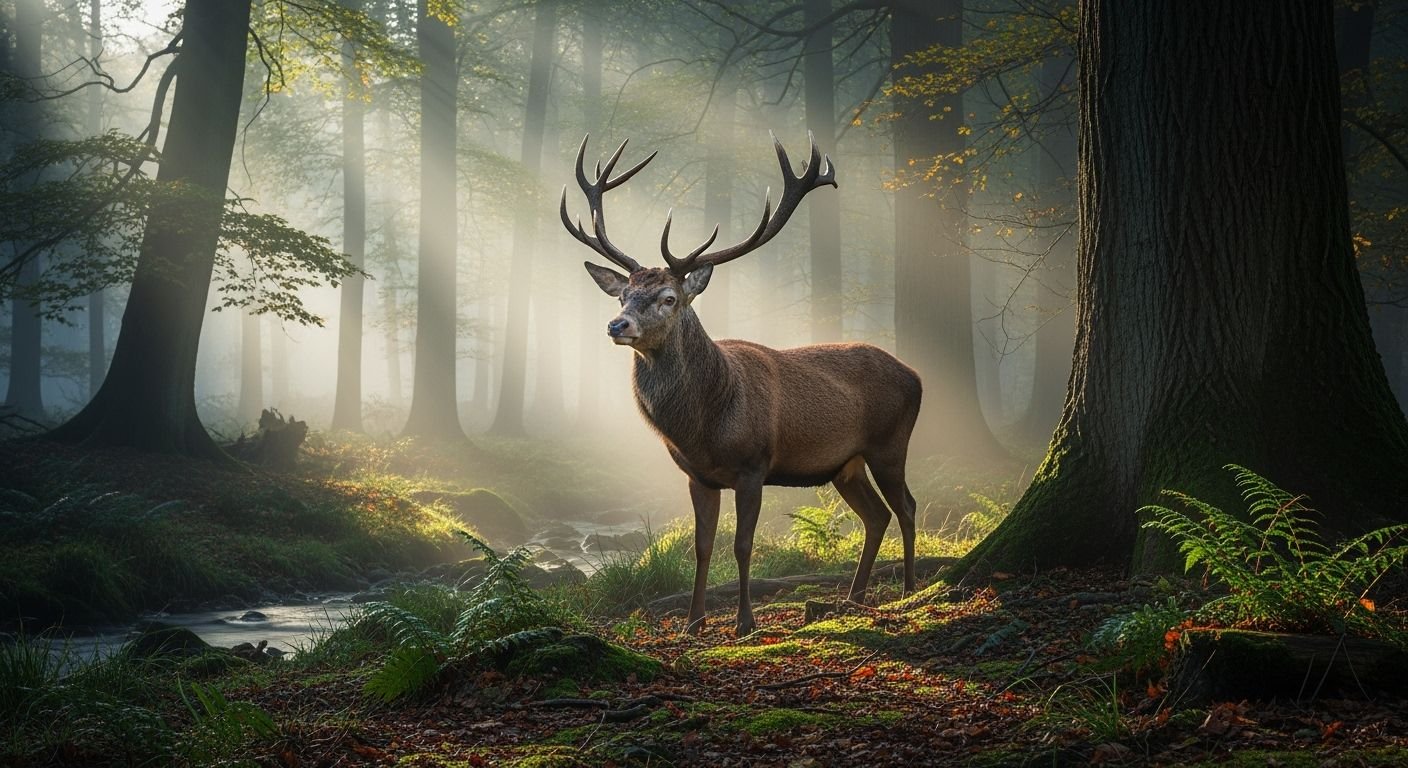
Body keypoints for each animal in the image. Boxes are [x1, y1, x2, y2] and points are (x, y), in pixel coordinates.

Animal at [561, 133, 922, 636]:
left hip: (890, 443)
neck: (705, 427)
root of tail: (917, 375)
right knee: (877, 515)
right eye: (623, 294)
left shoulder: (754, 466)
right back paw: (853, 596)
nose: (618, 325)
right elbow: (702, 547)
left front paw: (745, 622)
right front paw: (693, 622)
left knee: (906, 505)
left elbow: (742, 545)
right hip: (844, 465)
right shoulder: (697, 476)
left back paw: (909, 588)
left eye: (669, 298)